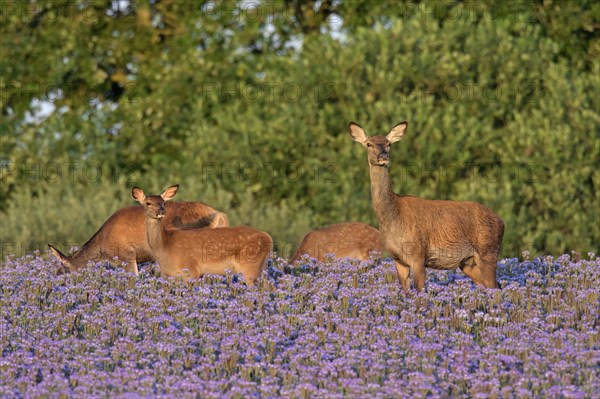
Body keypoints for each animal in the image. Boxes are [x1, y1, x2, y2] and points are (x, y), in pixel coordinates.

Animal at [132, 186, 274, 286]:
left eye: (163, 202)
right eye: (148, 203)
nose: (161, 211)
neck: (164, 246)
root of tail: (269, 238)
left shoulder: (191, 269)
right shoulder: (169, 274)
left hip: (250, 266)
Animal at [350, 120, 504, 292]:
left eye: (389, 144)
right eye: (369, 144)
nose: (383, 156)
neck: (393, 215)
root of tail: (501, 221)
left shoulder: (418, 254)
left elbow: (418, 290)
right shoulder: (398, 259)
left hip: (488, 251)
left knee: (494, 286)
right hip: (468, 263)